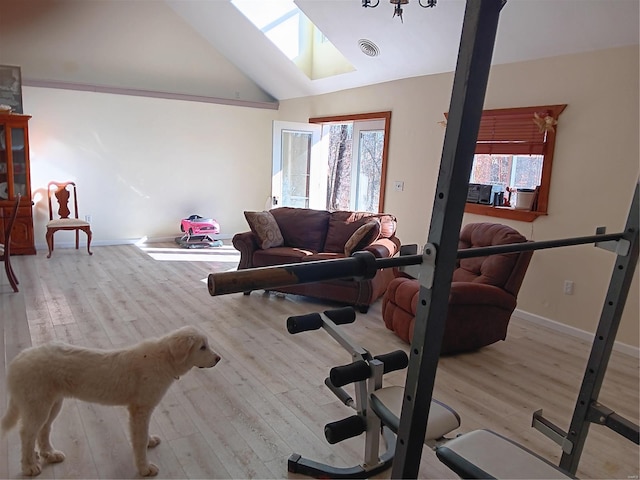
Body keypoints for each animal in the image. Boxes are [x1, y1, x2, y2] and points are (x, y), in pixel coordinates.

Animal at [1, 326, 222, 476]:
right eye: (202, 347)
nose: (218, 359)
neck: (165, 358)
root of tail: (17, 360)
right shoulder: (140, 410)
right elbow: (139, 440)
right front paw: (144, 468)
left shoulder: (142, 411)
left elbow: (143, 436)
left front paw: (149, 442)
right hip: (38, 405)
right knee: (26, 433)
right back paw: (29, 466)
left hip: (52, 404)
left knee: (43, 430)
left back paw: (49, 454)